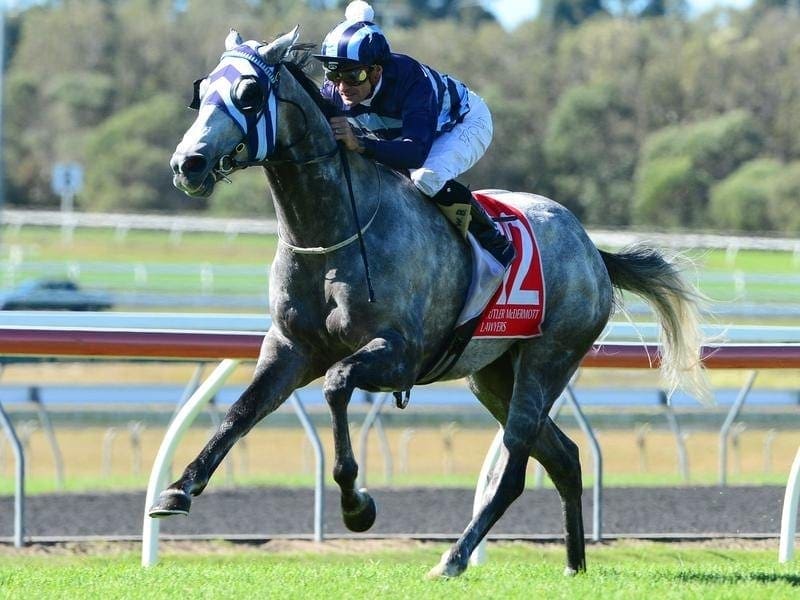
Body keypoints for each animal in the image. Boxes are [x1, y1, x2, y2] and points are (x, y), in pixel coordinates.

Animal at [153, 28, 708, 576]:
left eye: (248, 93)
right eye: (201, 93)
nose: (187, 164)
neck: (331, 233)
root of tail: (592, 249)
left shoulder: (398, 355)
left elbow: (336, 385)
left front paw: (357, 505)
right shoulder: (291, 347)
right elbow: (241, 411)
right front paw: (178, 490)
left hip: (548, 359)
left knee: (515, 468)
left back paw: (455, 557)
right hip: (493, 376)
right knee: (565, 456)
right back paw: (574, 565)